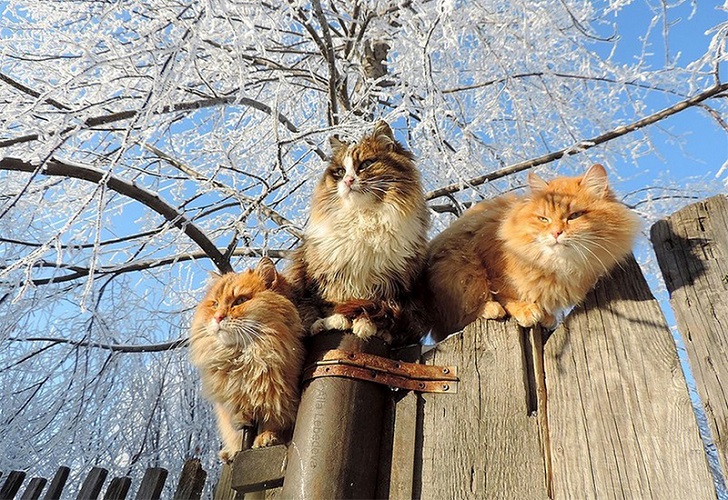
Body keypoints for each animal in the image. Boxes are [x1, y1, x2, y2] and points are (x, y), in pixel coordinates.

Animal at [188, 260, 304, 462]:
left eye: (240, 301)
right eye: (215, 304)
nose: (218, 317)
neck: (244, 358)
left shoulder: (279, 403)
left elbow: (274, 425)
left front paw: (266, 438)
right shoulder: (235, 412)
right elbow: (238, 436)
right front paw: (232, 452)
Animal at [288, 120, 430, 346]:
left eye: (365, 165)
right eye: (339, 171)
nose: (347, 181)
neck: (364, 218)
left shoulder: (392, 283)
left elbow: (377, 308)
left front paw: (366, 326)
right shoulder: (327, 277)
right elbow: (330, 304)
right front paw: (335, 321)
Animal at [424, 163, 640, 340]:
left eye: (574, 216)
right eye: (543, 219)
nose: (556, 233)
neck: (558, 265)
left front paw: (546, 315)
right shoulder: (490, 258)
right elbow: (504, 292)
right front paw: (525, 309)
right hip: (457, 266)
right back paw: (490, 308)